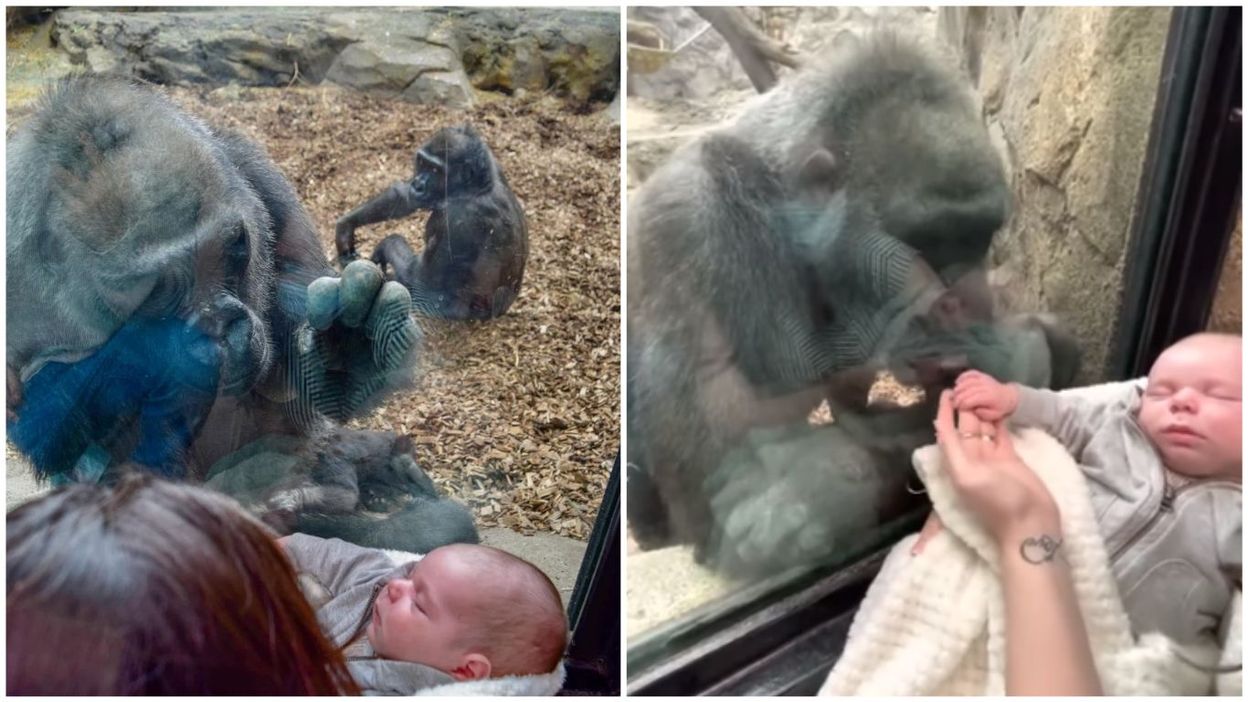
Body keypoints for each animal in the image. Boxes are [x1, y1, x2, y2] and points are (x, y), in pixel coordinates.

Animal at [331, 124, 526, 319]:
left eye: (436, 171)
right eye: (422, 163)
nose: (417, 185)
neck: (475, 188)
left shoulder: (457, 219)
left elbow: (420, 280)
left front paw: (385, 245)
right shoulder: (494, 164)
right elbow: (406, 199)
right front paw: (345, 227)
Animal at [628, 32, 1078, 577]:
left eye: (976, 237)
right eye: (924, 242)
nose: (957, 304)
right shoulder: (689, 222)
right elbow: (722, 506)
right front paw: (825, 485)